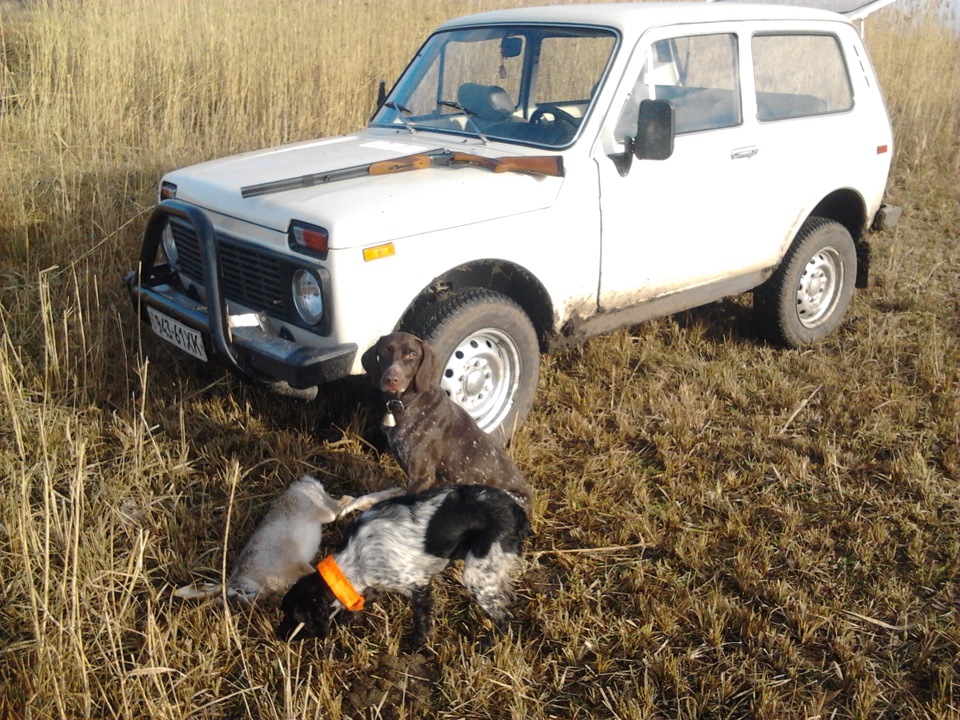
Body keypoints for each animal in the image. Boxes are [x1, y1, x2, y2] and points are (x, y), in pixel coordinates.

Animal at [175, 475, 379, 602]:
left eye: (241, 591)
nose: (247, 603)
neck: (252, 576)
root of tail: (302, 483)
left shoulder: (297, 566)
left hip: (325, 512)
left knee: (344, 502)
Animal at [276, 484, 531, 647]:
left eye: (295, 618)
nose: (279, 635)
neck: (354, 558)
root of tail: (516, 510)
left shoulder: (417, 583)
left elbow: (421, 619)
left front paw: (416, 646)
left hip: (479, 577)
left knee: (504, 616)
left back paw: (490, 643)